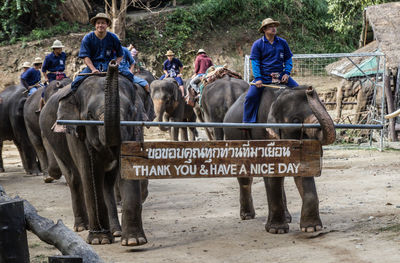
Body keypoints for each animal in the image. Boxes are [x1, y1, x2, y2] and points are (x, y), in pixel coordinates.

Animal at [39, 60, 148, 246]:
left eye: (130, 112)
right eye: (89, 115)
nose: (112, 63)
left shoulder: (135, 128)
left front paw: (134, 241)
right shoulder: (76, 131)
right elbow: (90, 173)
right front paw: (99, 240)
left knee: (107, 183)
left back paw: (116, 231)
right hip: (56, 142)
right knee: (74, 179)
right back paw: (82, 227)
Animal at [223, 86, 336, 235]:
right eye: (295, 120)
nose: (310, 90)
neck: (277, 97)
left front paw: (311, 228)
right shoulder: (265, 135)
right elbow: (271, 173)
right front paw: (277, 230)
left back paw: (287, 217)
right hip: (233, 138)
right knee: (245, 176)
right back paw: (247, 216)